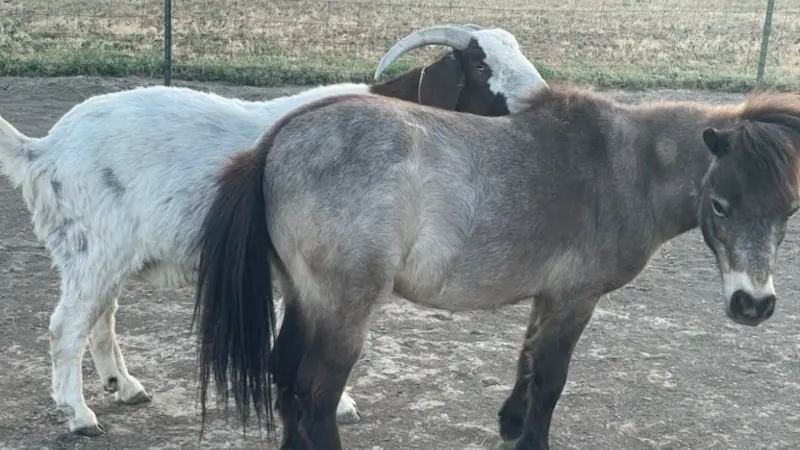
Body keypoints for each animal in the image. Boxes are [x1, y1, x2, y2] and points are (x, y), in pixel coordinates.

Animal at [0, 23, 547, 437]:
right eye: (480, 67)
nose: (540, 101)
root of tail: (43, 150)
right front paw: (341, 404)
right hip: (93, 248)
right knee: (67, 325)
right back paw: (80, 415)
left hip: (106, 254)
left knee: (101, 318)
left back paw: (126, 387)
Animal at [193, 85, 800, 449]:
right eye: (719, 204)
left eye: (791, 208)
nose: (754, 305)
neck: (624, 168)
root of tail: (277, 143)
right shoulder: (575, 299)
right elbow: (551, 377)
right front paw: (532, 439)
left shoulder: (548, 296)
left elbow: (527, 361)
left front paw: (510, 423)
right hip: (344, 310)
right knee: (316, 394)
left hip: (304, 298)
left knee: (284, 377)